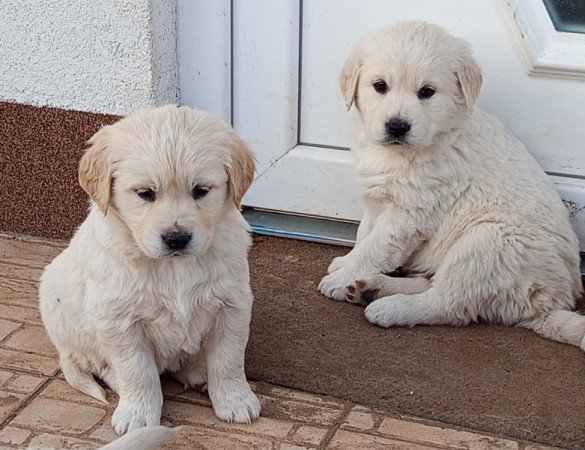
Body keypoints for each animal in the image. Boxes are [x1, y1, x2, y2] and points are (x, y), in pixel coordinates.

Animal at [38, 104, 260, 432]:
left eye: (201, 190)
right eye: (145, 193)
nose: (176, 238)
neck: (173, 267)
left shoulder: (232, 304)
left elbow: (228, 359)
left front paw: (235, 400)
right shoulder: (118, 320)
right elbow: (137, 371)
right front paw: (138, 414)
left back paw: (198, 373)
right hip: (58, 307)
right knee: (97, 364)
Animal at [320, 21, 584, 350]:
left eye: (427, 92)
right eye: (379, 86)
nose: (397, 126)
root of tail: (549, 302)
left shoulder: (409, 214)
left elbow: (375, 247)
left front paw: (341, 277)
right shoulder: (376, 202)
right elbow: (364, 235)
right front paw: (346, 265)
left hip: (487, 244)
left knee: (448, 305)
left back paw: (388, 306)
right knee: (430, 284)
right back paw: (373, 288)